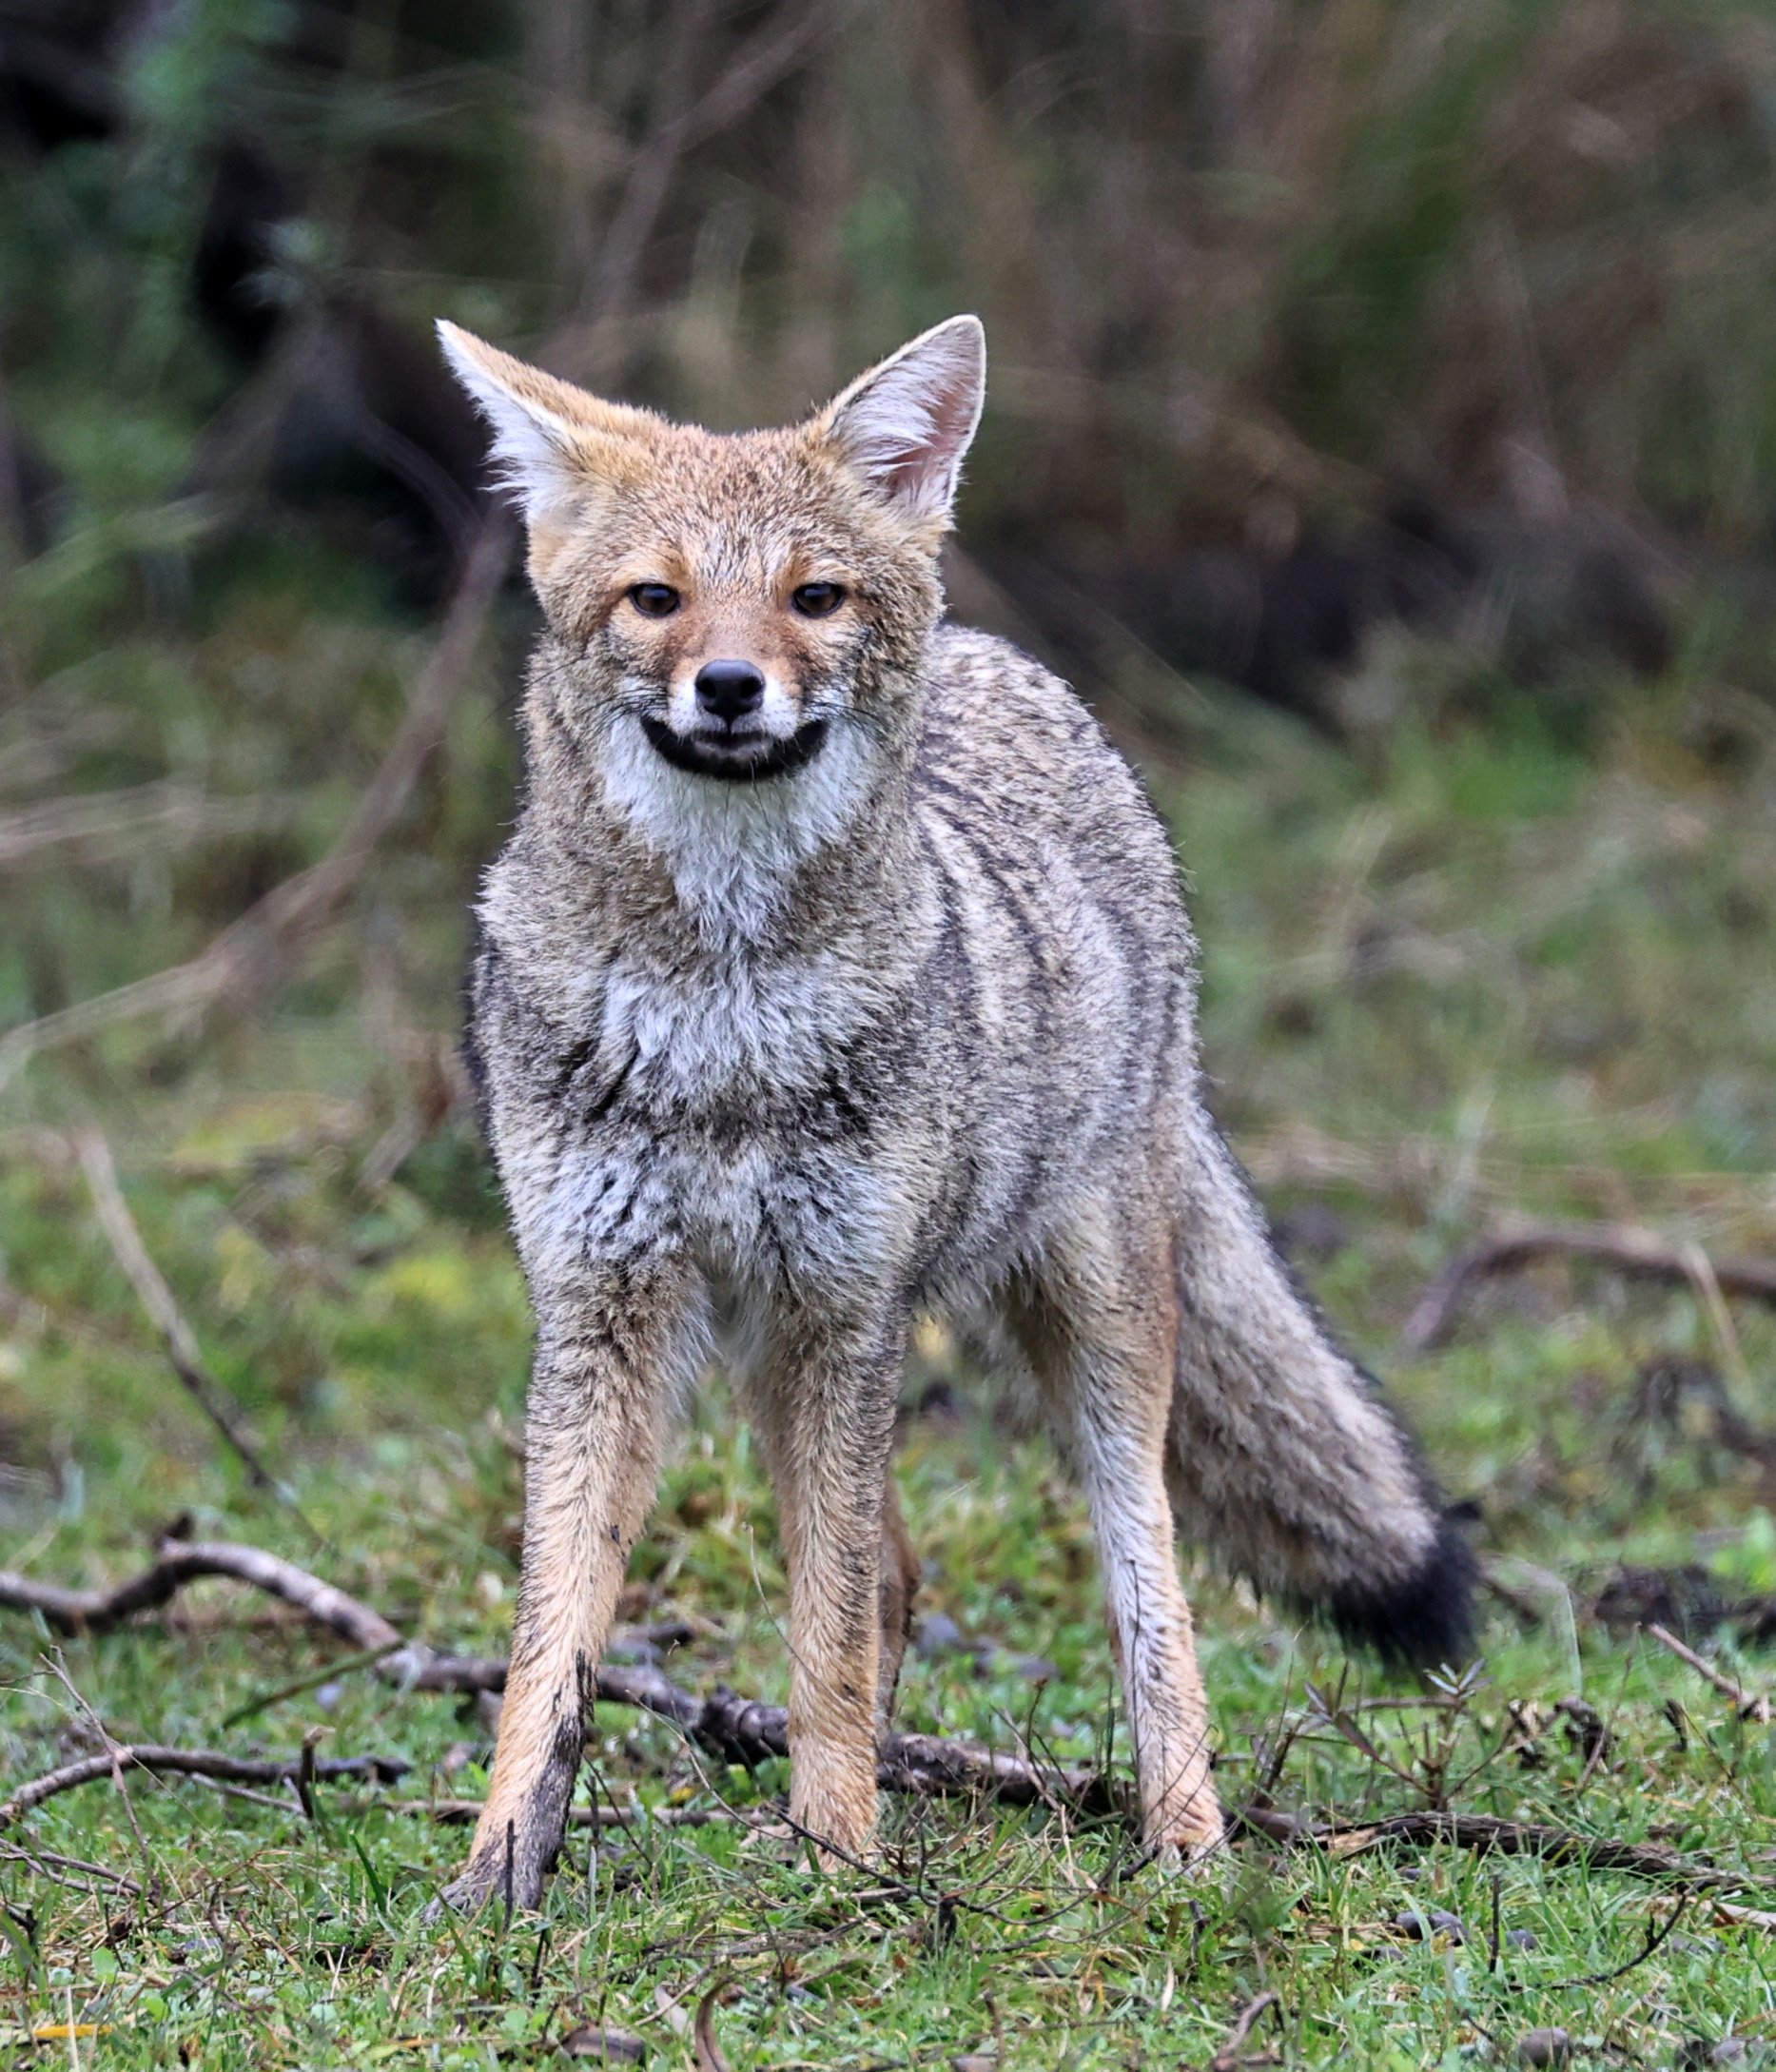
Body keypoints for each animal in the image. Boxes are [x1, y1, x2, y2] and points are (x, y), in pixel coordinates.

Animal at [431, 312, 1474, 1913]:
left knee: (1141, 1589)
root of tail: (1006, 662)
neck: (722, 1018)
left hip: (1080, 1335)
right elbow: (553, 1642)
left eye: (811, 598)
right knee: (899, 1580)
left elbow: (825, 1636)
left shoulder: (845, 1311)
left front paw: (838, 1858)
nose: (726, 686)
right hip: (773, 1355)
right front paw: (500, 1874)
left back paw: (1183, 1838)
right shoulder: (602, 1309)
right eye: (657, 598)